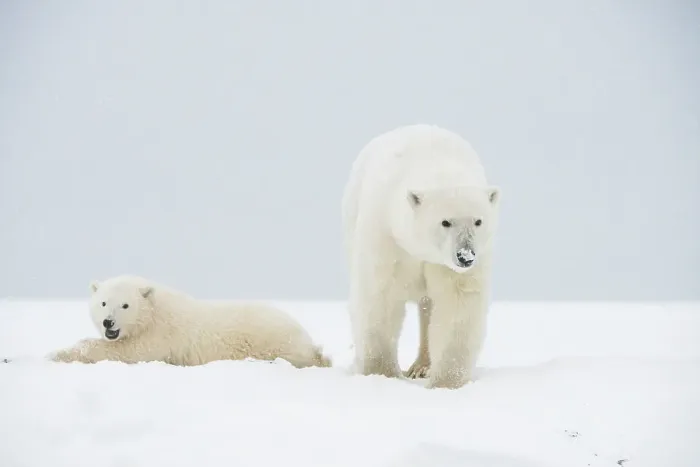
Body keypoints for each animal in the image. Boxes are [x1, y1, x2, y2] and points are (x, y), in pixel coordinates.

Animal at [48, 275, 332, 368]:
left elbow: (128, 351)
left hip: (273, 341)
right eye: (104, 303)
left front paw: (57, 354)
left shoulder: (159, 336)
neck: (153, 312)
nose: (108, 323)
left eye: (125, 305)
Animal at [341, 124, 500, 389]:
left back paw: (421, 367)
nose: (465, 256)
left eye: (478, 221)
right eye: (445, 222)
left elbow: (456, 304)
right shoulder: (386, 234)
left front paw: (446, 382)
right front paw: (380, 373)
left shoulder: (451, 266)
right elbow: (380, 296)